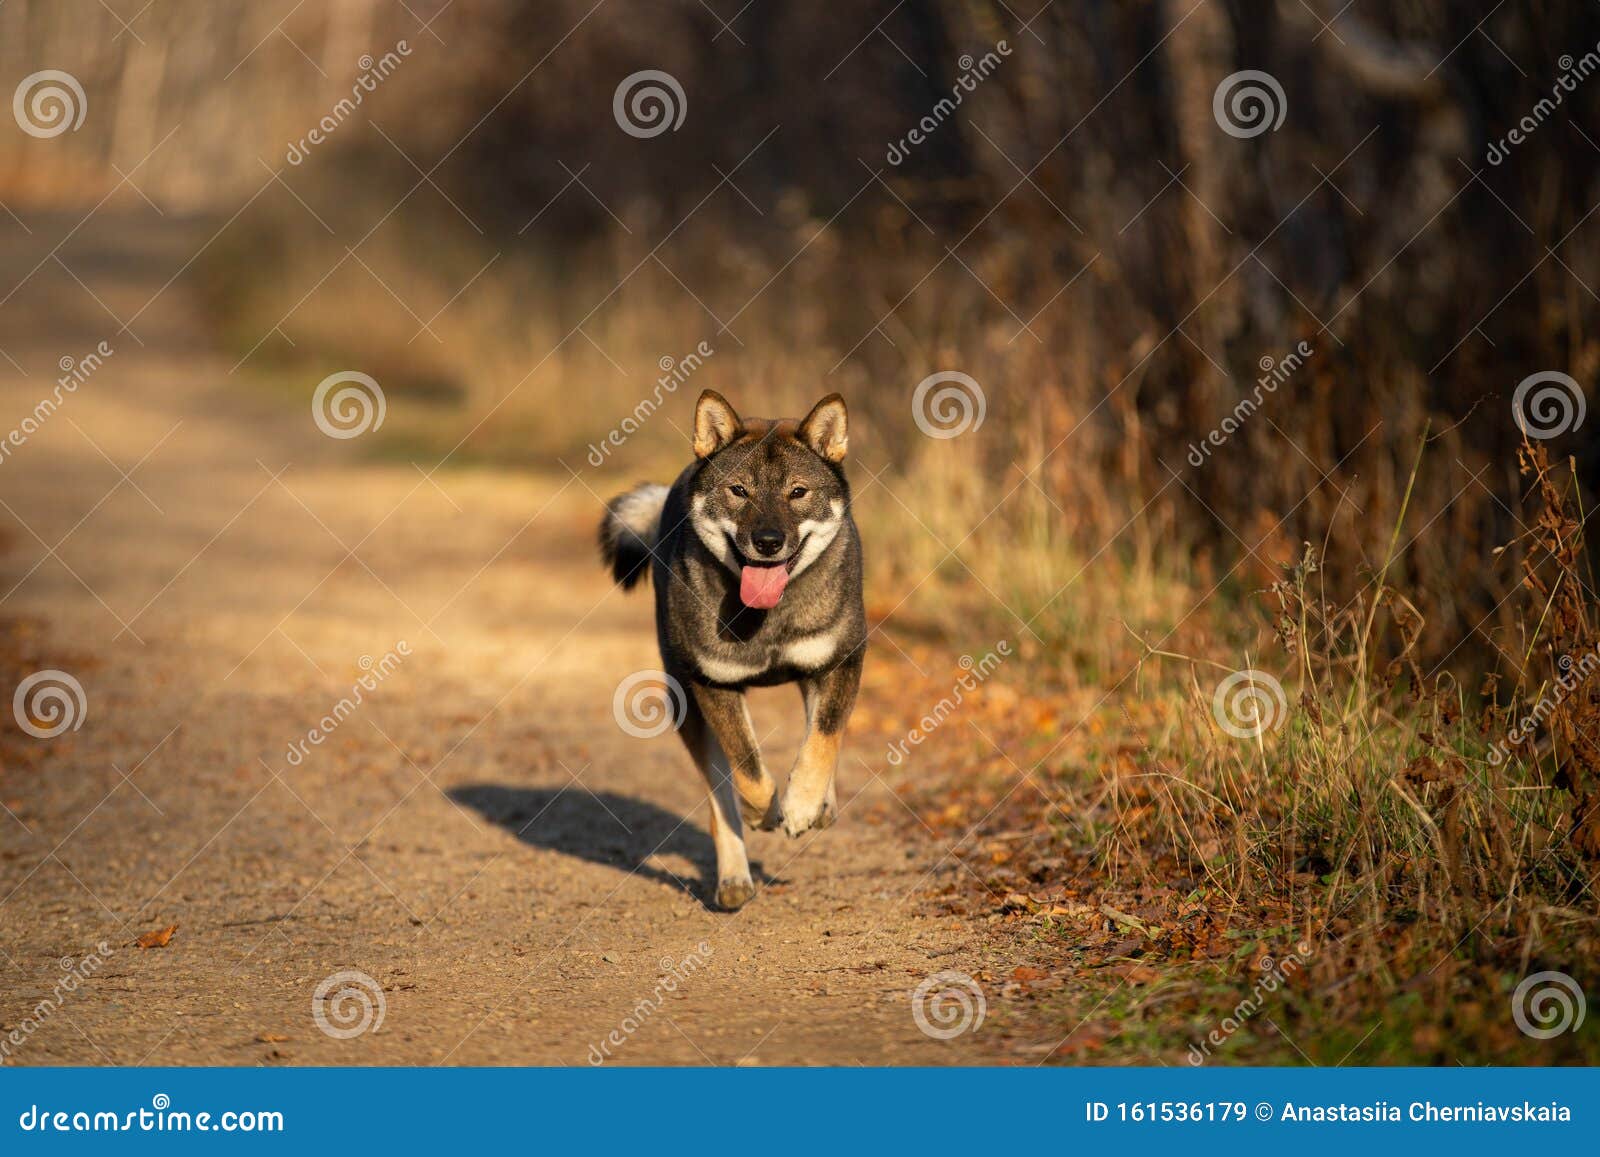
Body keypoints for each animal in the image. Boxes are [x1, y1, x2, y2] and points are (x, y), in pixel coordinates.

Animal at [601, 393, 870, 908]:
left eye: (798, 492)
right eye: (739, 491)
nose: (768, 542)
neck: (766, 617)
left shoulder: (839, 660)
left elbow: (823, 737)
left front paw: (805, 805)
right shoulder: (713, 684)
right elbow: (748, 771)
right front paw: (766, 812)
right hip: (685, 706)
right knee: (718, 798)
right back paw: (734, 878)